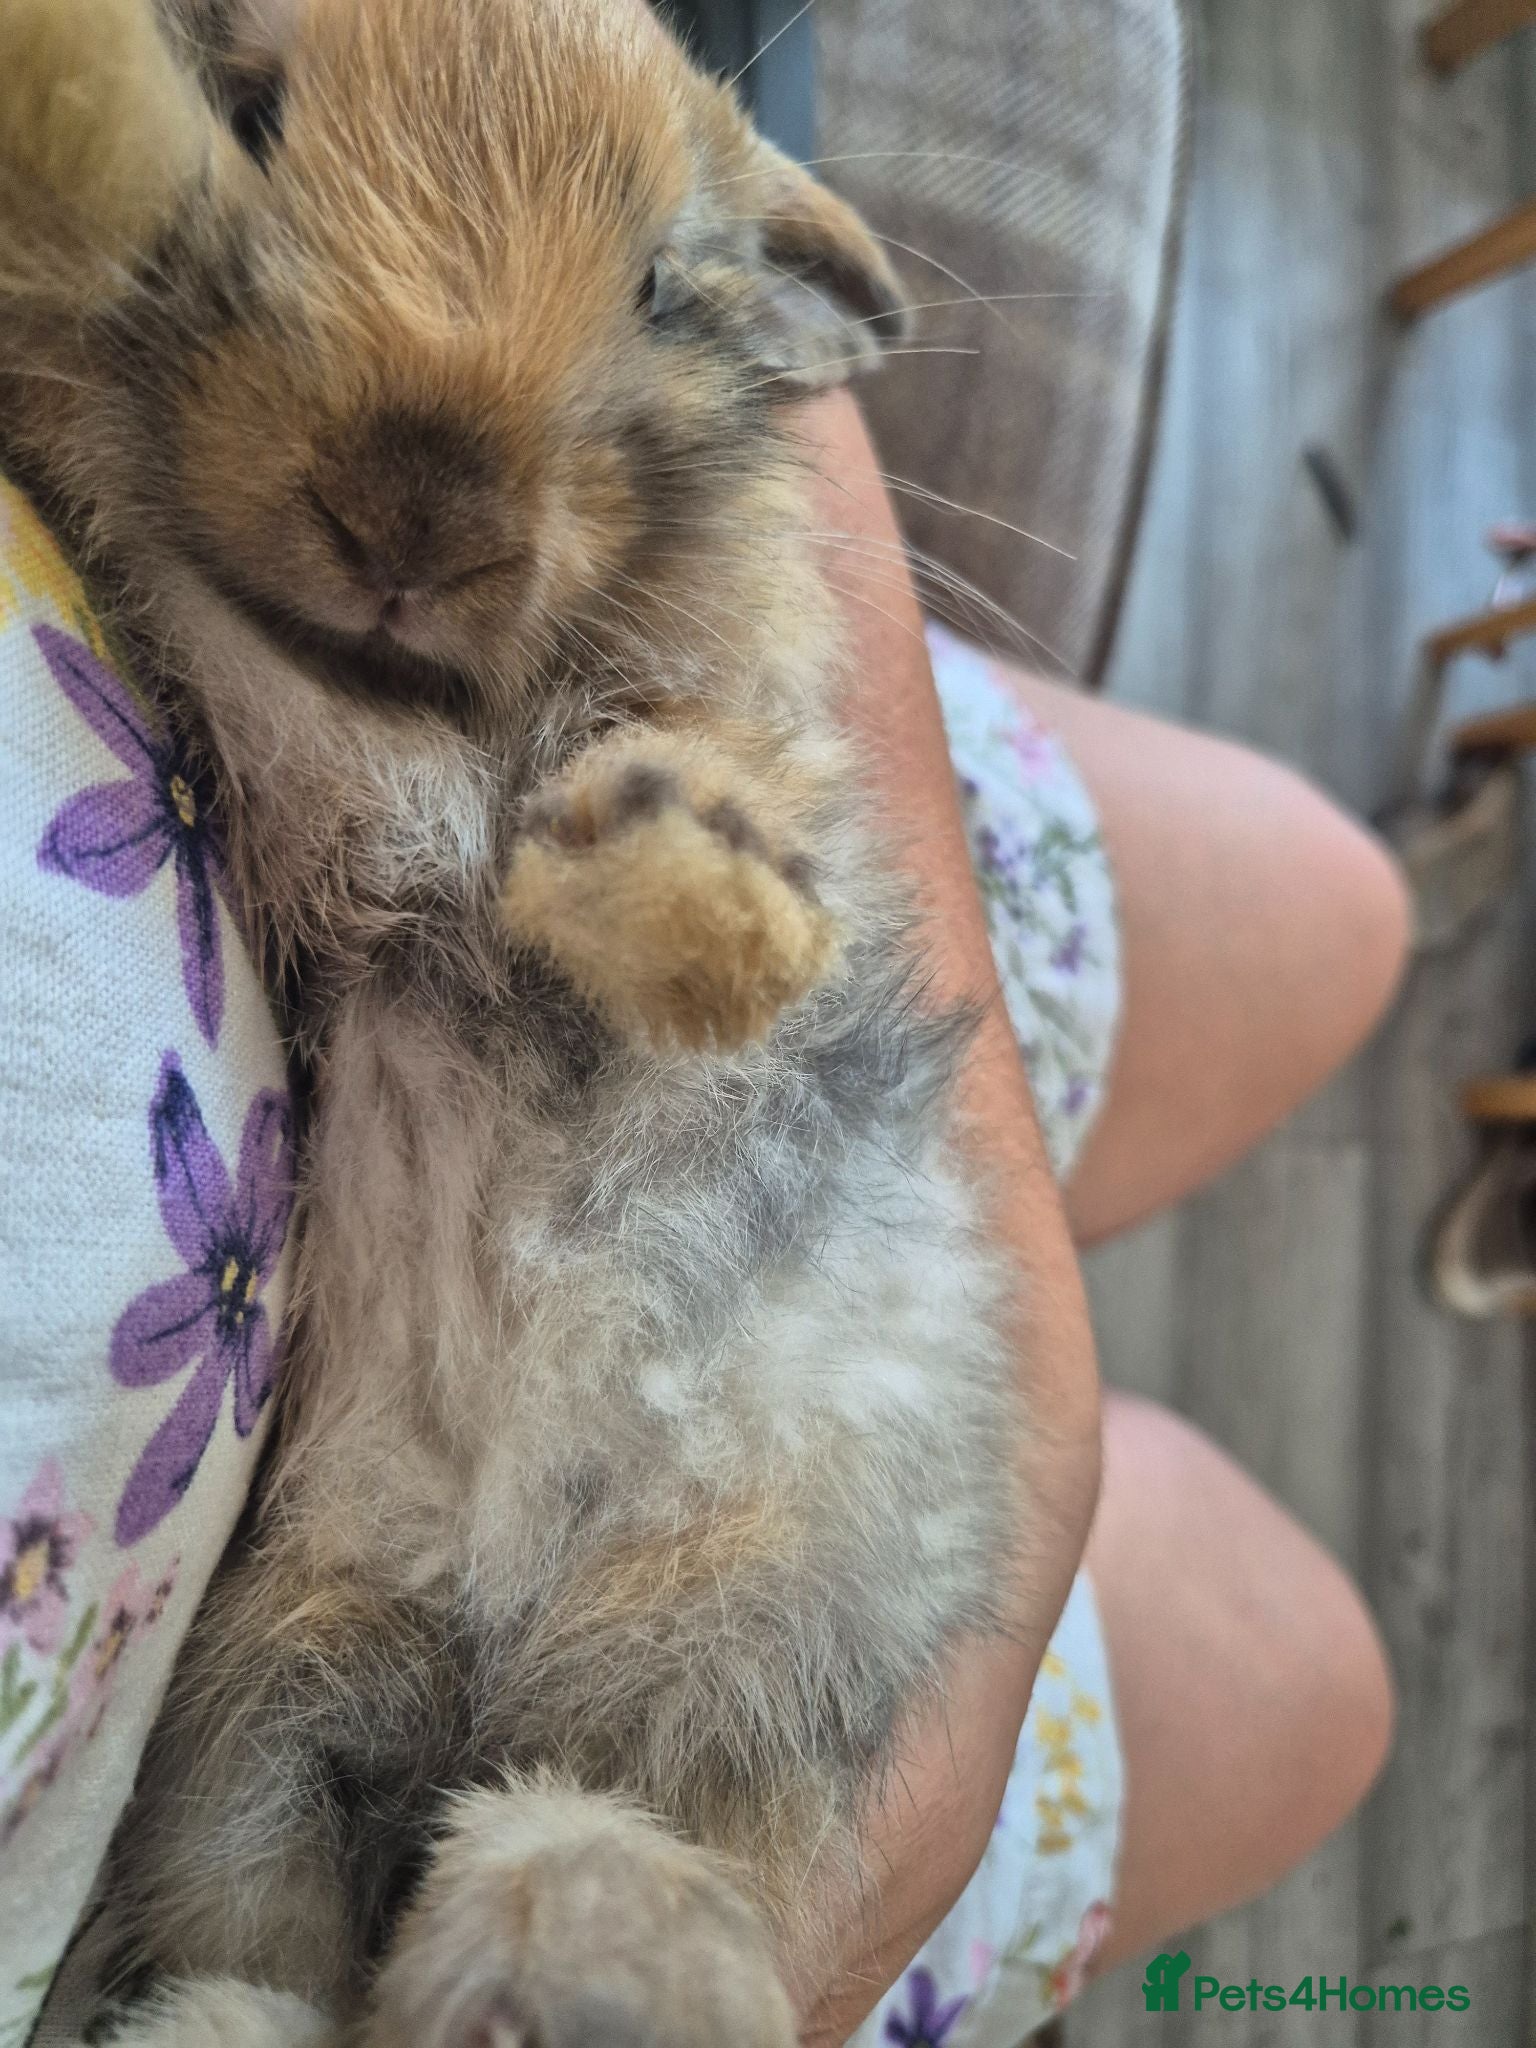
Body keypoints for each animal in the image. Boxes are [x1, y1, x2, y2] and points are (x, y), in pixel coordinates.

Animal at [0, 0, 1023, 2042]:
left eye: (657, 284)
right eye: (257, 114)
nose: (421, 513)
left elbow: (718, 852)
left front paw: (681, 901)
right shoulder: (295, 714)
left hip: (710, 1672)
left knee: (604, 1851)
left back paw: (593, 1951)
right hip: (294, 1693)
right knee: (301, 1950)